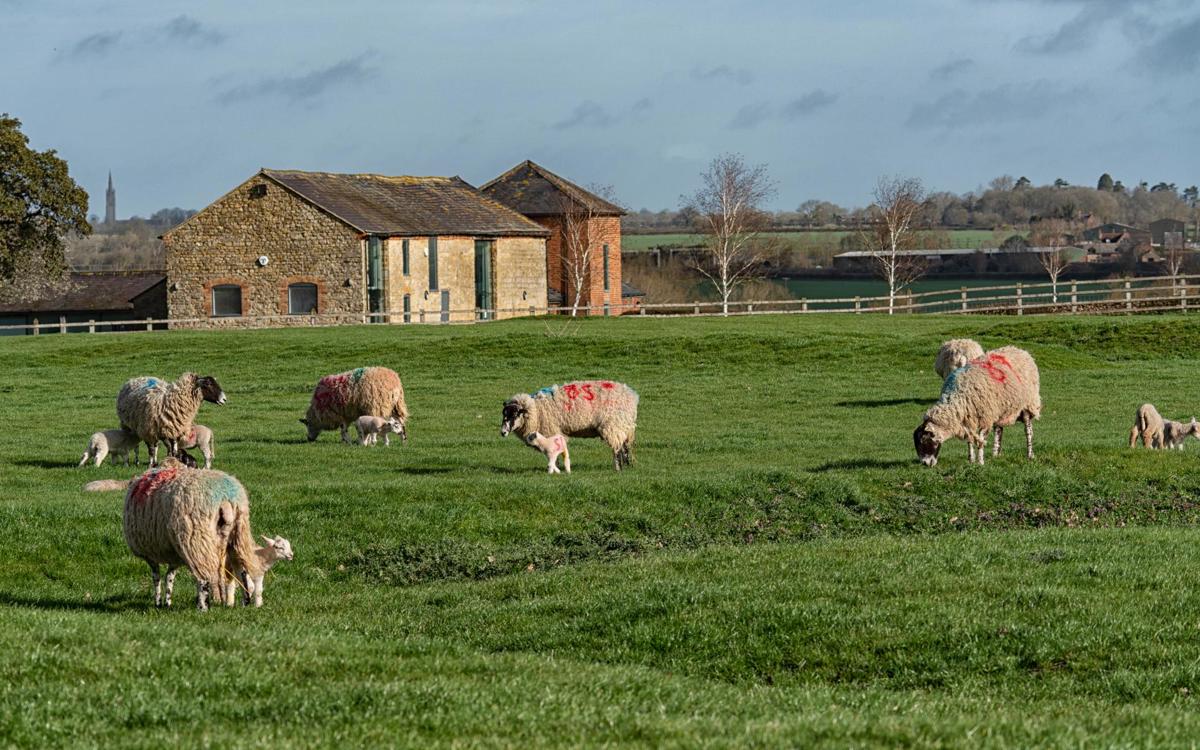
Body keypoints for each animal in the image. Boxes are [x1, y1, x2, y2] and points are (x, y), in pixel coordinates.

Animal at [122, 459, 264, 611]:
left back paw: (202, 608)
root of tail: (225, 499)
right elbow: (169, 576)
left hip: (196, 541)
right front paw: (167, 602)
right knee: (242, 572)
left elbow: (157, 577)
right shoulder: (174, 554)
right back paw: (244, 602)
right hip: (237, 535)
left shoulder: (150, 553)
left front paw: (158, 602)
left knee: (203, 579)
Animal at [501, 381, 638, 471]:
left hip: (613, 425)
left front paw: (555, 467)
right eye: (504, 414)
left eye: (515, 414)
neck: (537, 410)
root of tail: (632, 396)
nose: (503, 432)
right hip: (625, 426)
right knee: (625, 446)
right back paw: (628, 465)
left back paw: (618, 468)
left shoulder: (551, 431)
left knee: (617, 448)